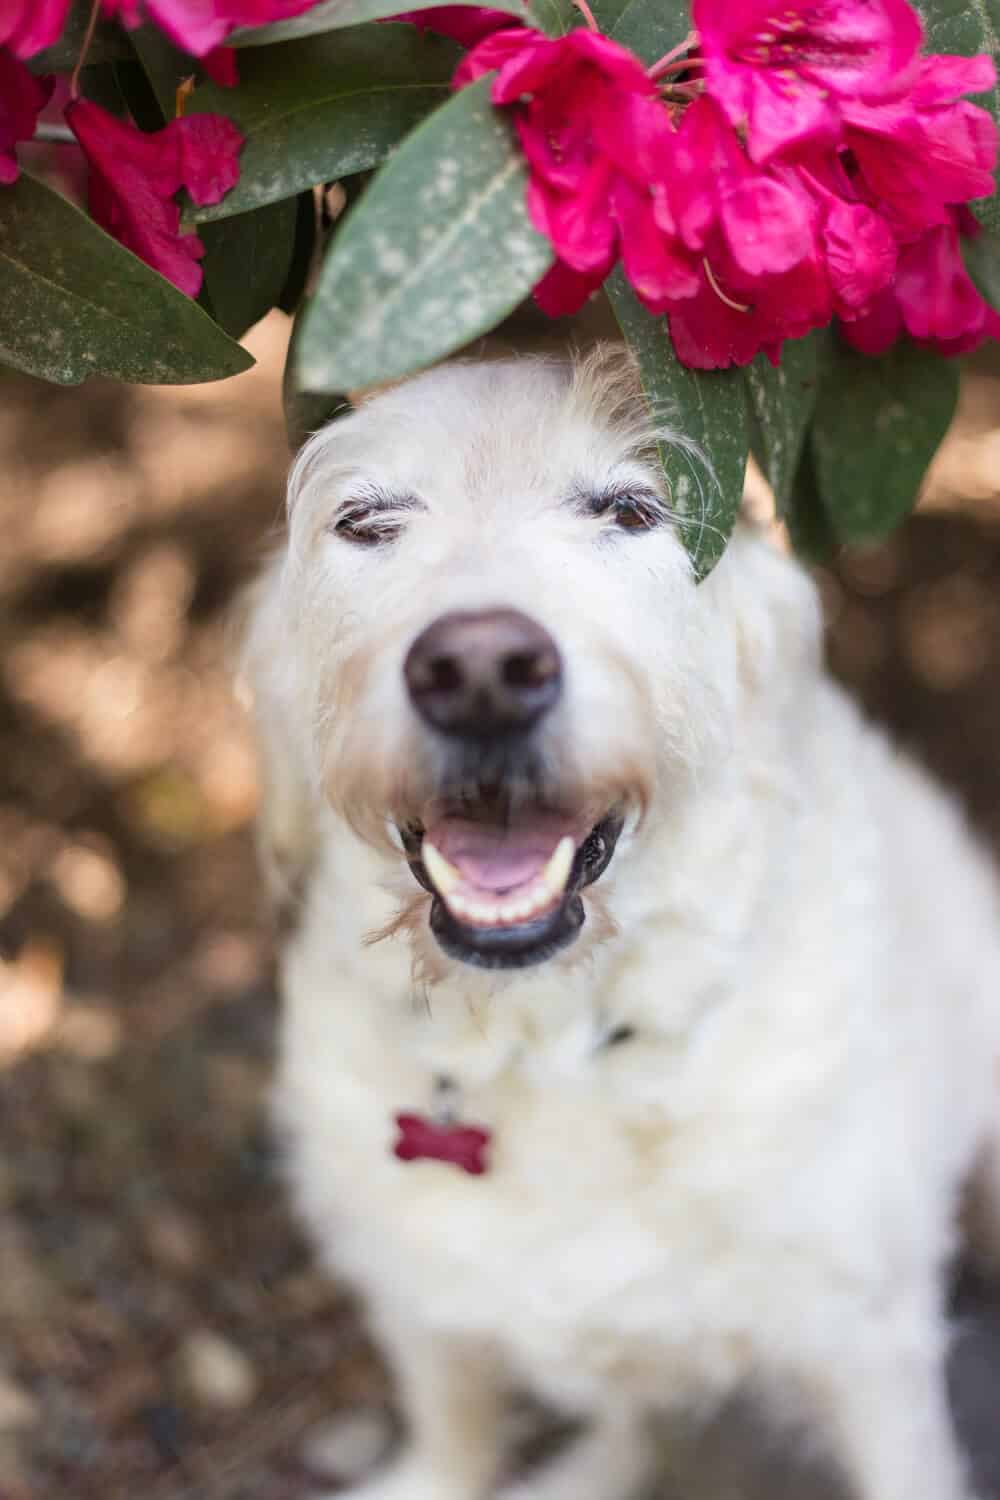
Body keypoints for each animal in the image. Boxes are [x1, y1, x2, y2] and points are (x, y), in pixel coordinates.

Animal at [242, 348, 1000, 1500]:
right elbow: (453, 1434)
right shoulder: (424, 1299)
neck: (556, 1044)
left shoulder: (865, 1343)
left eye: (631, 509)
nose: (480, 672)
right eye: (366, 521)